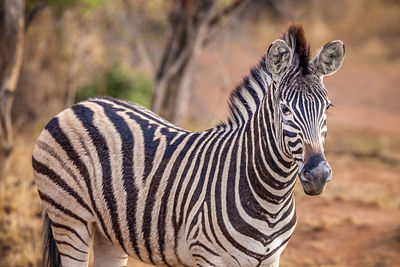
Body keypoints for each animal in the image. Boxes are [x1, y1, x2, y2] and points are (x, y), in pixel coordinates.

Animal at [33, 24, 344, 266]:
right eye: (285, 110)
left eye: (328, 107)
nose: (318, 175)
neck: (272, 199)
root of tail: (82, 104)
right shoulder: (210, 257)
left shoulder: (271, 260)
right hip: (69, 219)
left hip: (108, 231)